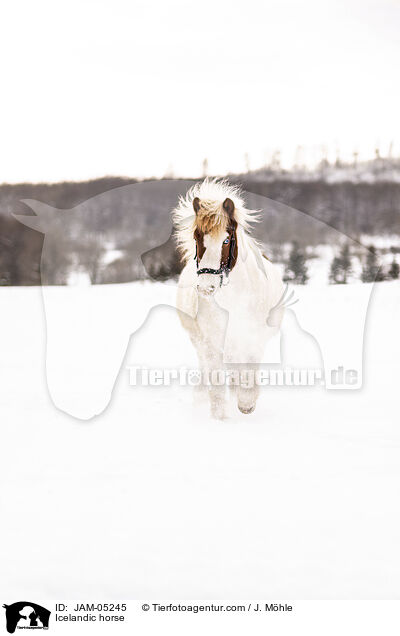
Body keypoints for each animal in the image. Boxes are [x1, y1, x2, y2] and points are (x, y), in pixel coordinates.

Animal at [173, 179, 290, 418]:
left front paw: (246, 403)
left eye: (227, 240)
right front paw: (220, 418)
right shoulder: (211, 342)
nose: (206, 287)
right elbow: (217, 383)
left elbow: (249, 373)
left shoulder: (253, 337)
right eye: (197, 237)